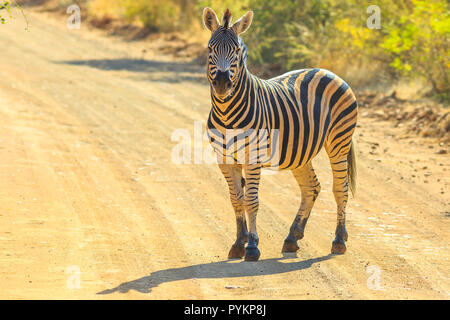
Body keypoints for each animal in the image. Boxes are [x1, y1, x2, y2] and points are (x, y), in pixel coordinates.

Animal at [202, 7, 356, 262]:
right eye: (209, 49)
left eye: (236, 51)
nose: (223, 84)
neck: (226, 113)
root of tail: (327, 71)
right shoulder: (224, 159)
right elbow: (236, 200)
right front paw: (238, 244)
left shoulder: (252, 158)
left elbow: (251, 201)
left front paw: (252, 246)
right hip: (301, 152)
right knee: (311, 188)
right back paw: (292, 237)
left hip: (339, 142)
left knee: (339, 189)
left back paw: (339, 240)